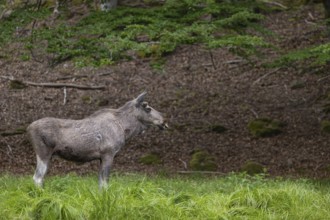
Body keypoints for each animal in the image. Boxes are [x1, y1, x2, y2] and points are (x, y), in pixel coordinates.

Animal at [27, 92, 169, 188]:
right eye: (148, 108)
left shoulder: (101, 157)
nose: (164, 121)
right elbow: (105, 183)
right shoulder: (108, 153)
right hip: (43, 153)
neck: (124, 128)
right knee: (37, 178)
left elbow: (100, 182)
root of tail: (28, 128)